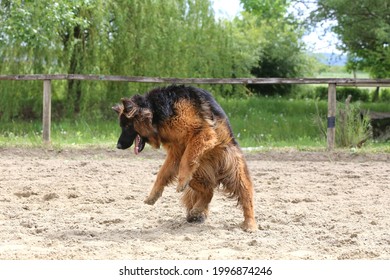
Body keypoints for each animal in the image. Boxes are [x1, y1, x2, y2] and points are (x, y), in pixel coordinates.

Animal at [112, 85, 258, 232]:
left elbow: (186, 159)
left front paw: (181, 181)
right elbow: (162, 173)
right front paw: (153, 195)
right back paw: (197, 211)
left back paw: (250, 223)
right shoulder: (176, 152)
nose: (118, 146)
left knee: (245, 195)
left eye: (127, 126)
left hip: (232, 171)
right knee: (208, 191)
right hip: (198, 173)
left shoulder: (201, 133)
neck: (156, 111)